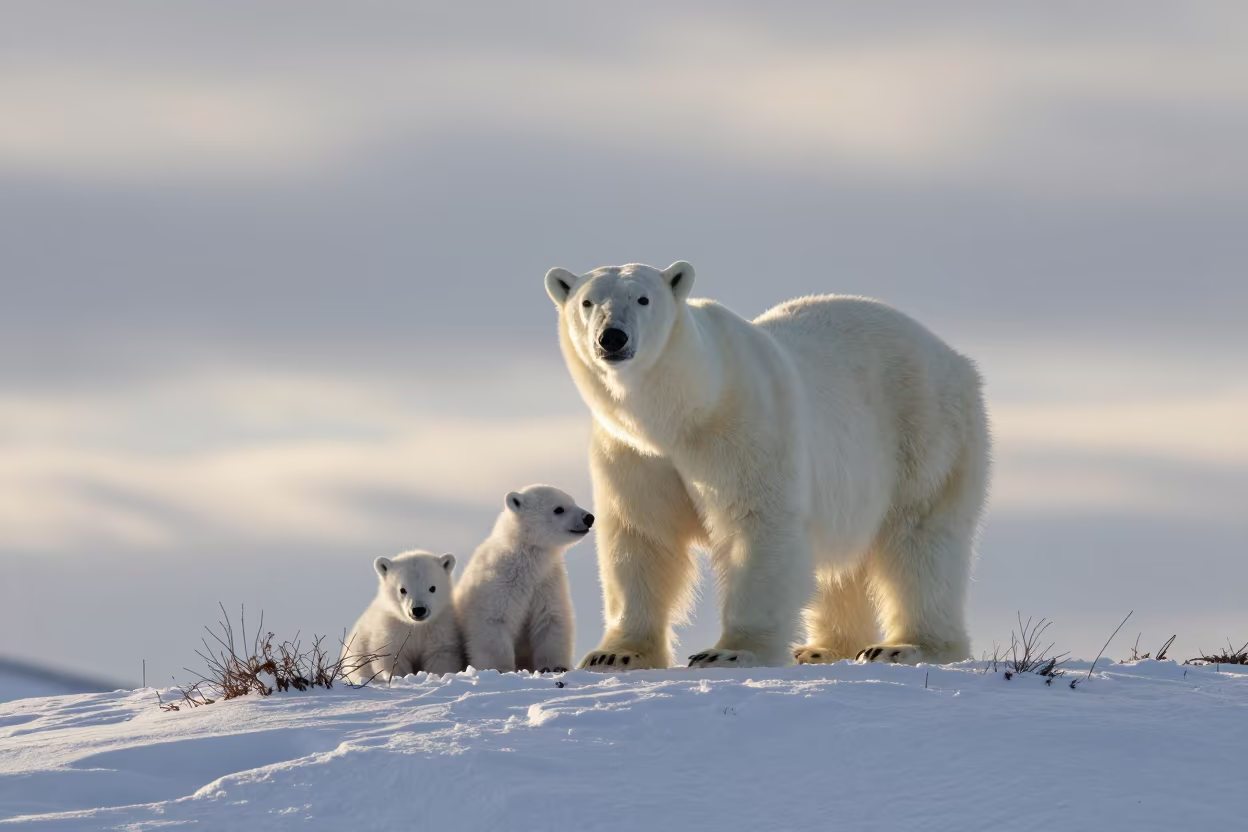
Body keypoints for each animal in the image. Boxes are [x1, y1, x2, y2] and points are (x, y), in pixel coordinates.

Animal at [341, 550, 463, 684]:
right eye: (402, 589)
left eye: (433, 588)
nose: (418, 610)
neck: (417, 627)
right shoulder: (391, 630)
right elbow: (392, 657)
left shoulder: (439, 627)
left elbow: (440, 655)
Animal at [454, 484, 594, 673]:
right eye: (559, 509)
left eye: (573, 501)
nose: (589, 518)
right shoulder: (499, 582)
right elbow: (494, 621)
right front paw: (500, 669)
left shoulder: (547, 582)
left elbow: (551, 619)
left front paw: (555, 667)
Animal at [544, 260, 990, 670]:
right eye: (587, 301)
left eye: (642, 298)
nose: (612, 338)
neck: (682, 414)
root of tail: (955, 357)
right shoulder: (633, 453)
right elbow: (643, 535)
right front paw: (616, 654)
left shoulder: (744, 426)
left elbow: (756, 522)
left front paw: (730, 652)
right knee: (842, 565)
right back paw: (822, 649)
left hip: (925, 432)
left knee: (921, 540)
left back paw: (906, 646)